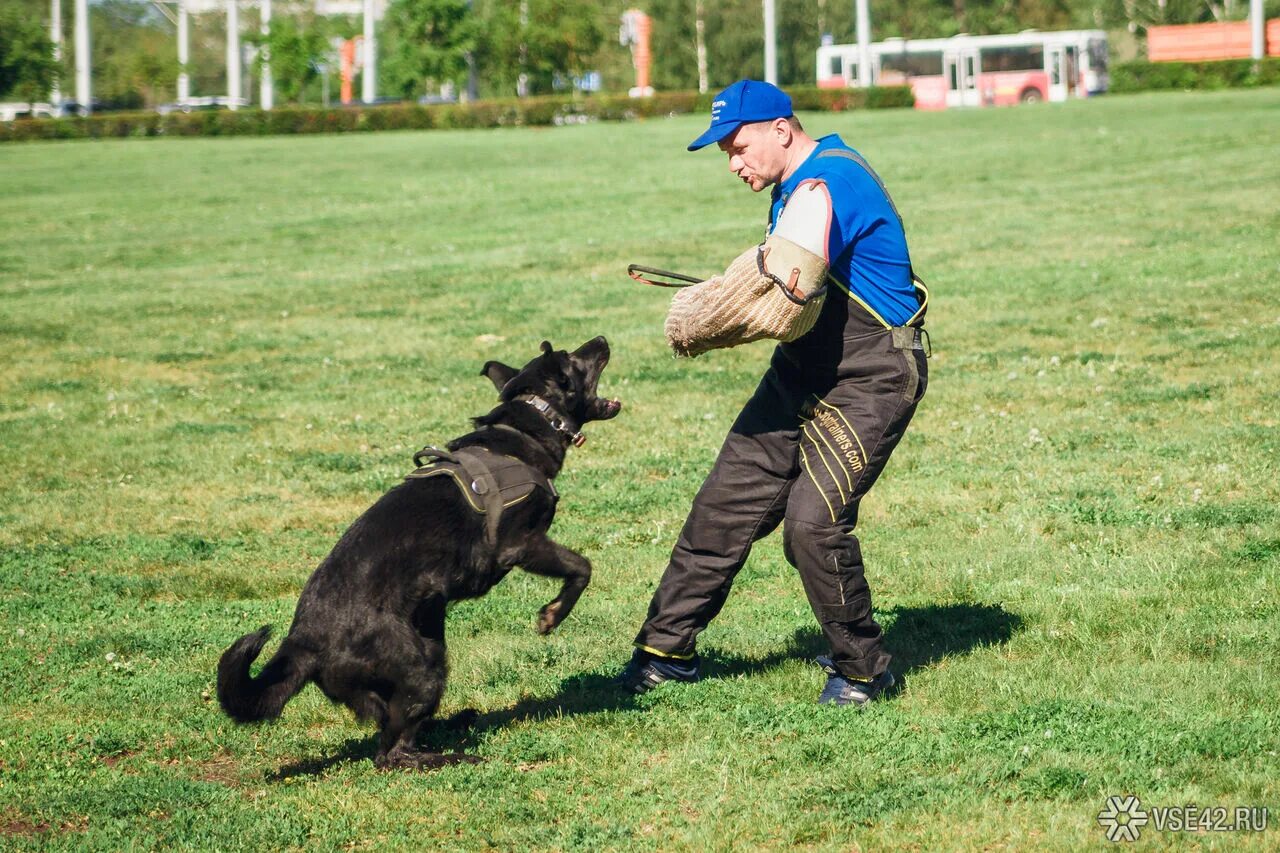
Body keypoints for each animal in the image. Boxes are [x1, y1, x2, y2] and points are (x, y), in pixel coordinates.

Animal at [215, 335, 619, 768]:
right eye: (573, 357)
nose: (601, 339)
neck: (527, 426)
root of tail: (302, 642)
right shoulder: (521, 544)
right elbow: (581, 567)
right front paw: (552, 615)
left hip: (430, 649)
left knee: (390, 723)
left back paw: (450, 725)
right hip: (418, 666)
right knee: (389, 752)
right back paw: (449, 756)